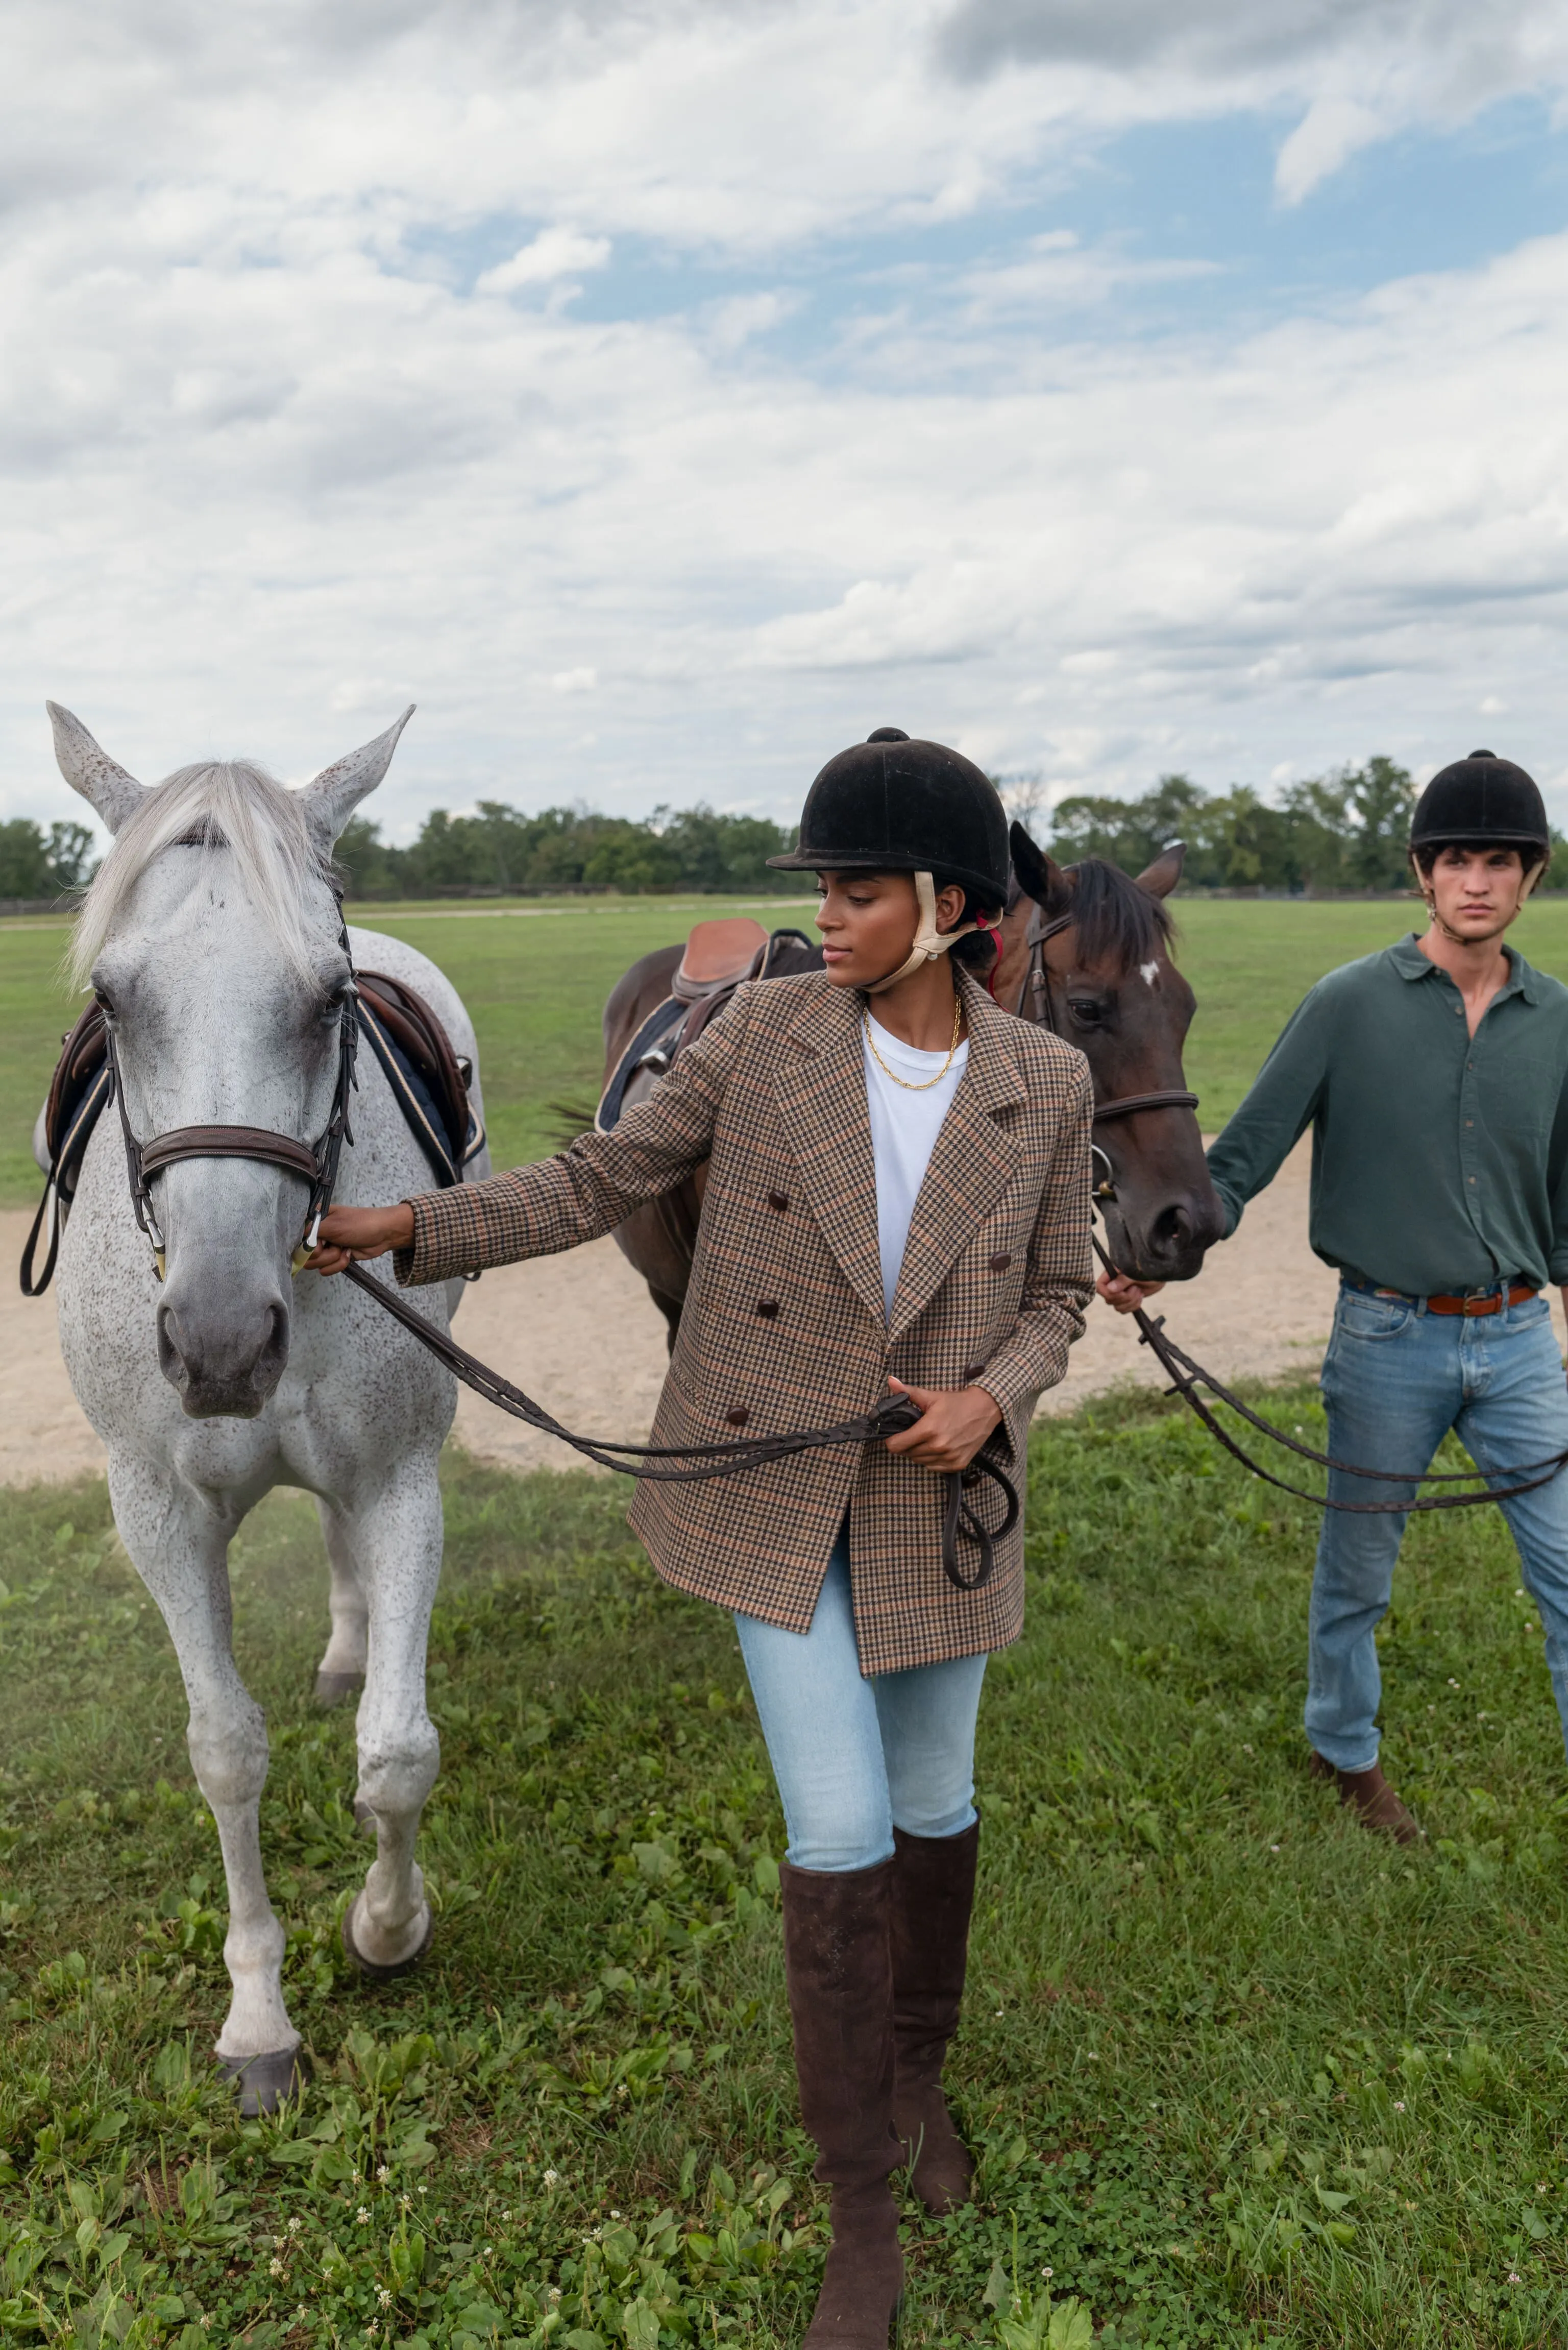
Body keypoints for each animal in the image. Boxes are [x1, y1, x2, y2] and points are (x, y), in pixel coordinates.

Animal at [43, 705, 486, 2124]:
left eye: (327, 998)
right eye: (113, 999)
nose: (225, 1344)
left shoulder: (400, 1479)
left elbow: (396, 1750)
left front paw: (388, 1926)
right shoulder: (157, 1512)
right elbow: (227, 1752)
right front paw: (258, 2015)